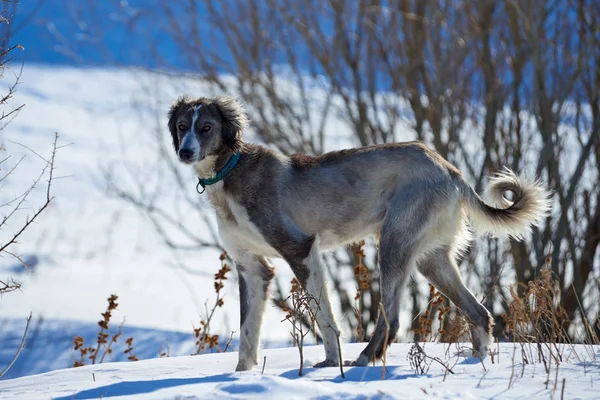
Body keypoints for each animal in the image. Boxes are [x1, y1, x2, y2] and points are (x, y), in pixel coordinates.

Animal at [166, 95, 552, 370]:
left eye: (206, 128)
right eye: (183, 125)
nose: (185, 152)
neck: (231, 171)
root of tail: (450, 170)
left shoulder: (299, 249)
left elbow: (325, 318)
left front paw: (329, 364)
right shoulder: (252, 268)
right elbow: (248, 334)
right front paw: (240, 377)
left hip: (394, 244)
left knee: (392, 319)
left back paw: (363, 361)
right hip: (432, 258)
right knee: (479, 313)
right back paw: (476, 363)